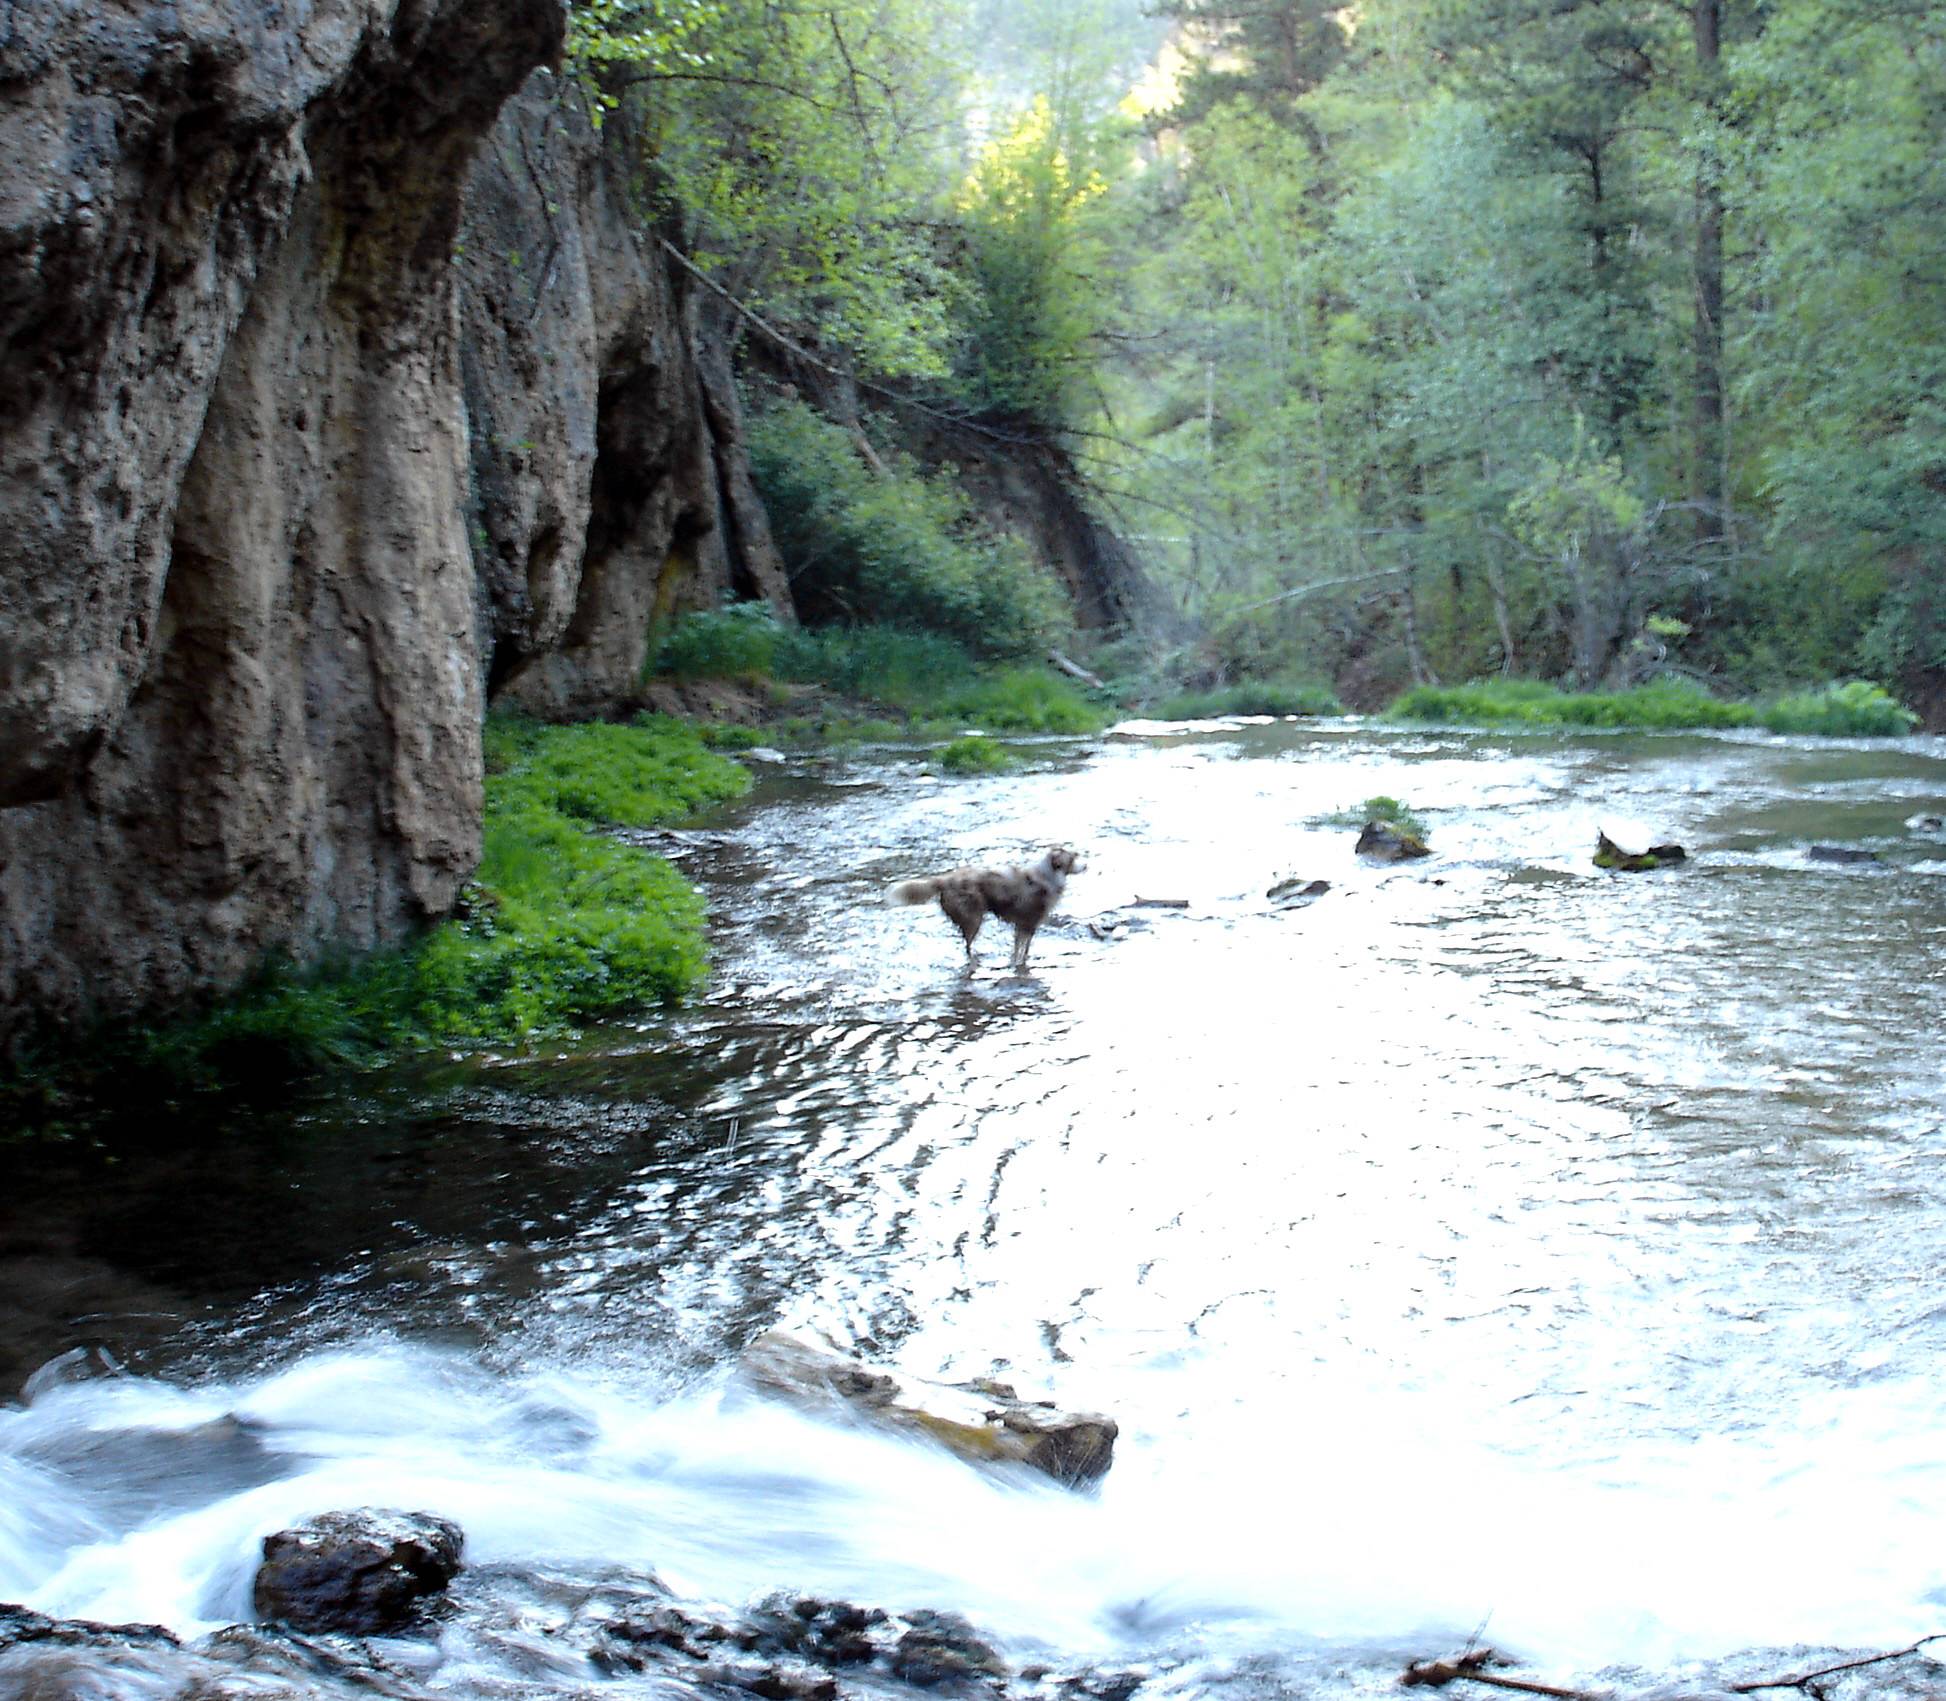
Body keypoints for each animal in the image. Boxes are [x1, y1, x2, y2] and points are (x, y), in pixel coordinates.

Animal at [891, 844, 1089, 969]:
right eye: (1073, 858)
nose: (1086, 865)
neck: (1049, 875)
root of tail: (945, 880)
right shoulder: (1028, 924)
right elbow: (1022, 950)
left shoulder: (1022, 926)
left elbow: (1019, 949)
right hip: (974, 918)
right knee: (968, 945)